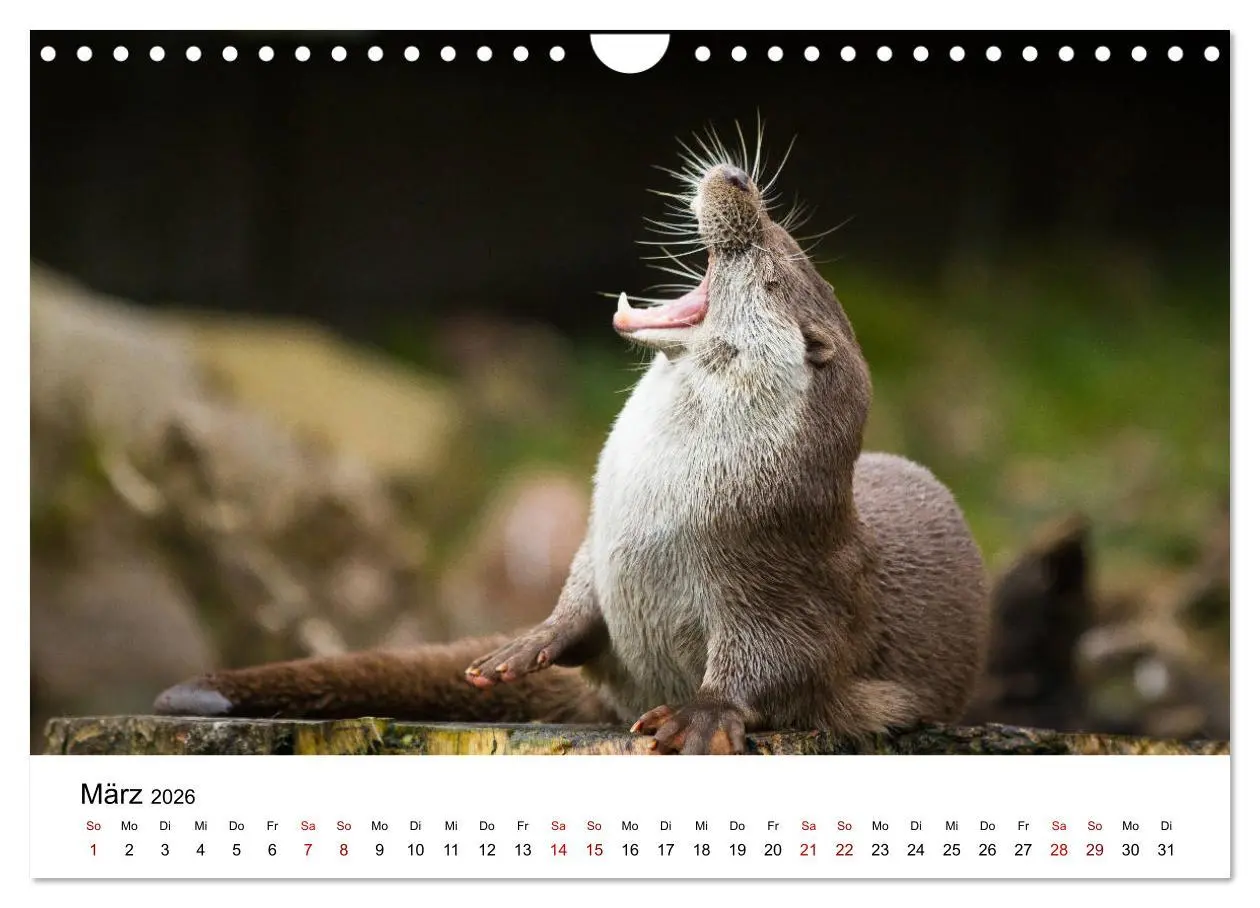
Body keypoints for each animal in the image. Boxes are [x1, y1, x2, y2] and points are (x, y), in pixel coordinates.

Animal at [154, 133, 990, 754]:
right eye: (783, 237)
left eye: (771, 267)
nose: (736, 178)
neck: (666, 508)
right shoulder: (600, 540)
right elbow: (578, 596)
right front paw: (527, 644)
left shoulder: (786, 578)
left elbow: (780, 664)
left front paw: (700, 715)